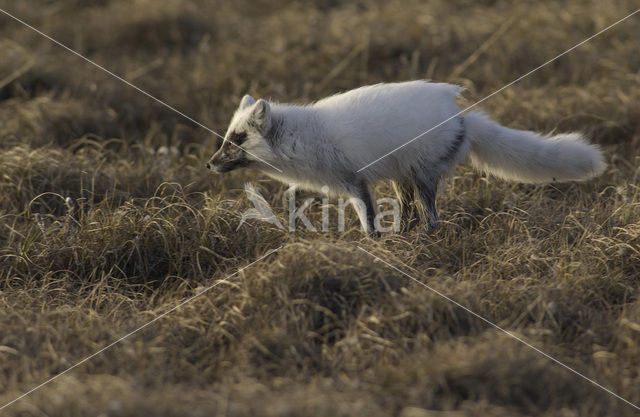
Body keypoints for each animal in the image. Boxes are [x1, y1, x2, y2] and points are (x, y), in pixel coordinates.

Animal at [206, 79, 604, 232]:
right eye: (226, 138)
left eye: (237, 139)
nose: (209, 164)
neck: (304, 135)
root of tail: (462, 116)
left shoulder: (353, 182)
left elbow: (367, 220)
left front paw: (371, 245)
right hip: (404, 176)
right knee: (411, 213)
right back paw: (405, 235)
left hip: (423, 174)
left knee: (432, 218)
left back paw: (423, 238)